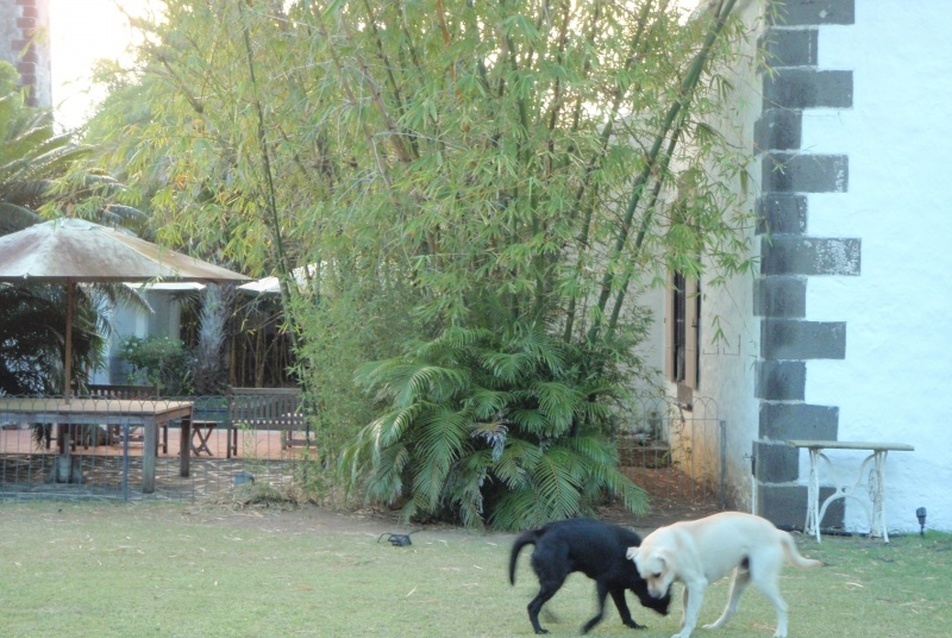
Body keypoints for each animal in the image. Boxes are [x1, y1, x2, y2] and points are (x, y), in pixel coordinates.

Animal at [510, 520, 672, 636]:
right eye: (666, 596)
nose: (668, 612)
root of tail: (541, 533)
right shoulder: (603, 583)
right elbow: (602, 612)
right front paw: (586, 628)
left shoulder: (616, 589)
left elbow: (625, 611)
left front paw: (634, 626)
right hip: (554, 581)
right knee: (532, 606)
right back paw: (539, 630)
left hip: (551, 580)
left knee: (536, 597)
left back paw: (549, 618)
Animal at [624, 512, 820, 638]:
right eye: (644, 578)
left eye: (657, 574)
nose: (654, 596)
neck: (674, 547)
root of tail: (777, 532)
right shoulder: (689, 587)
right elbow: (687, 609)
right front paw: (685, 624)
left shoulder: (697, 585)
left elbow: (691, 614)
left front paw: (684, 633)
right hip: (741, 578)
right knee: (731, 608)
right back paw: (715, 626)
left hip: (763, 580)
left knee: (783, 606)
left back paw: (781, 632)